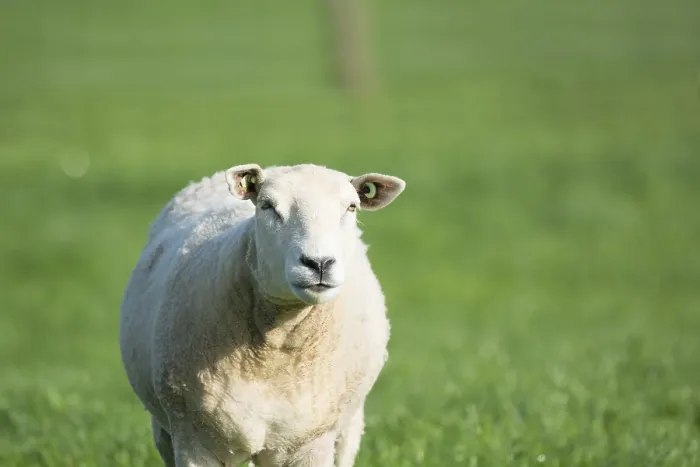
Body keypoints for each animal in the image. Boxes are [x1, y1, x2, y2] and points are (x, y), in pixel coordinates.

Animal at [118, 163, 406, 467]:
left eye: (351, 207)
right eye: (268, 206)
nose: (319, 263)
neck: (275, 351)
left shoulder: (311, 443)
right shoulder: (194, 439)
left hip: (346, 427)